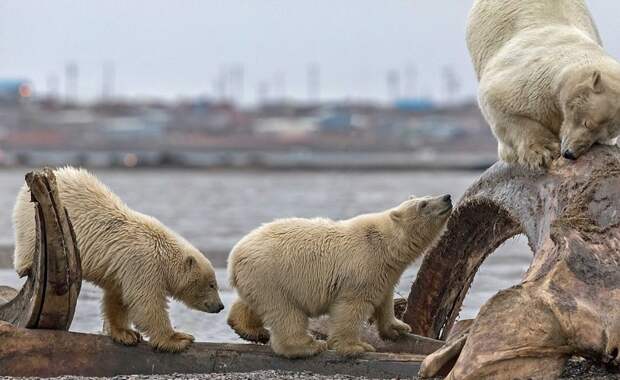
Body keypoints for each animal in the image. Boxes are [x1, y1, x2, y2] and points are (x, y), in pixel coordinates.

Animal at [470, 0, 620, 168]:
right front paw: (542, 151)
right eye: (588, 123)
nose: (570, 153)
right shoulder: (528, 77)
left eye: (600, 137)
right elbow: (495, 100)